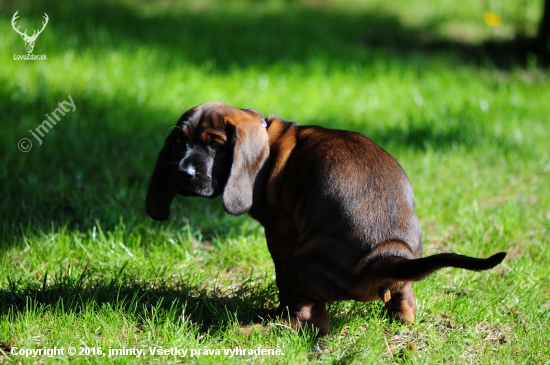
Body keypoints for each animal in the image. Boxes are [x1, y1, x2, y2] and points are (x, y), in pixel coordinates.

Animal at [147, 101, 508, 334]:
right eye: (178, 142)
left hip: (299, 264)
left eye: (215, 145)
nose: (182, 173)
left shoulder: (280, 231)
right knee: (405, 307)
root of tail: (387, 257)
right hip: (403, 282)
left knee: (311, 322)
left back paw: (255, 328)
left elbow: (281, 278)